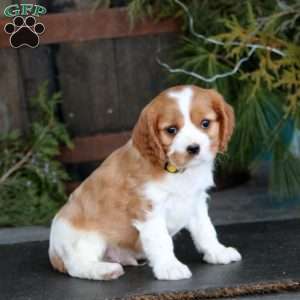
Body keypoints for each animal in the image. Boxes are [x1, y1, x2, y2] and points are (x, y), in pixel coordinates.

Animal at [49, 85, 241, 282]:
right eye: (171, 130)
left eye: (205, 123)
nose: (194, 148)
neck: (178, 171)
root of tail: (53, 251)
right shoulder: (148, 210)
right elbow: (162, 240)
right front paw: (170, 267)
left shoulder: (196, 202)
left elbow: (206, 229)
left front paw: (218, 252)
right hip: (87, 238)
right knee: (76, 265)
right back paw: (105, 270)